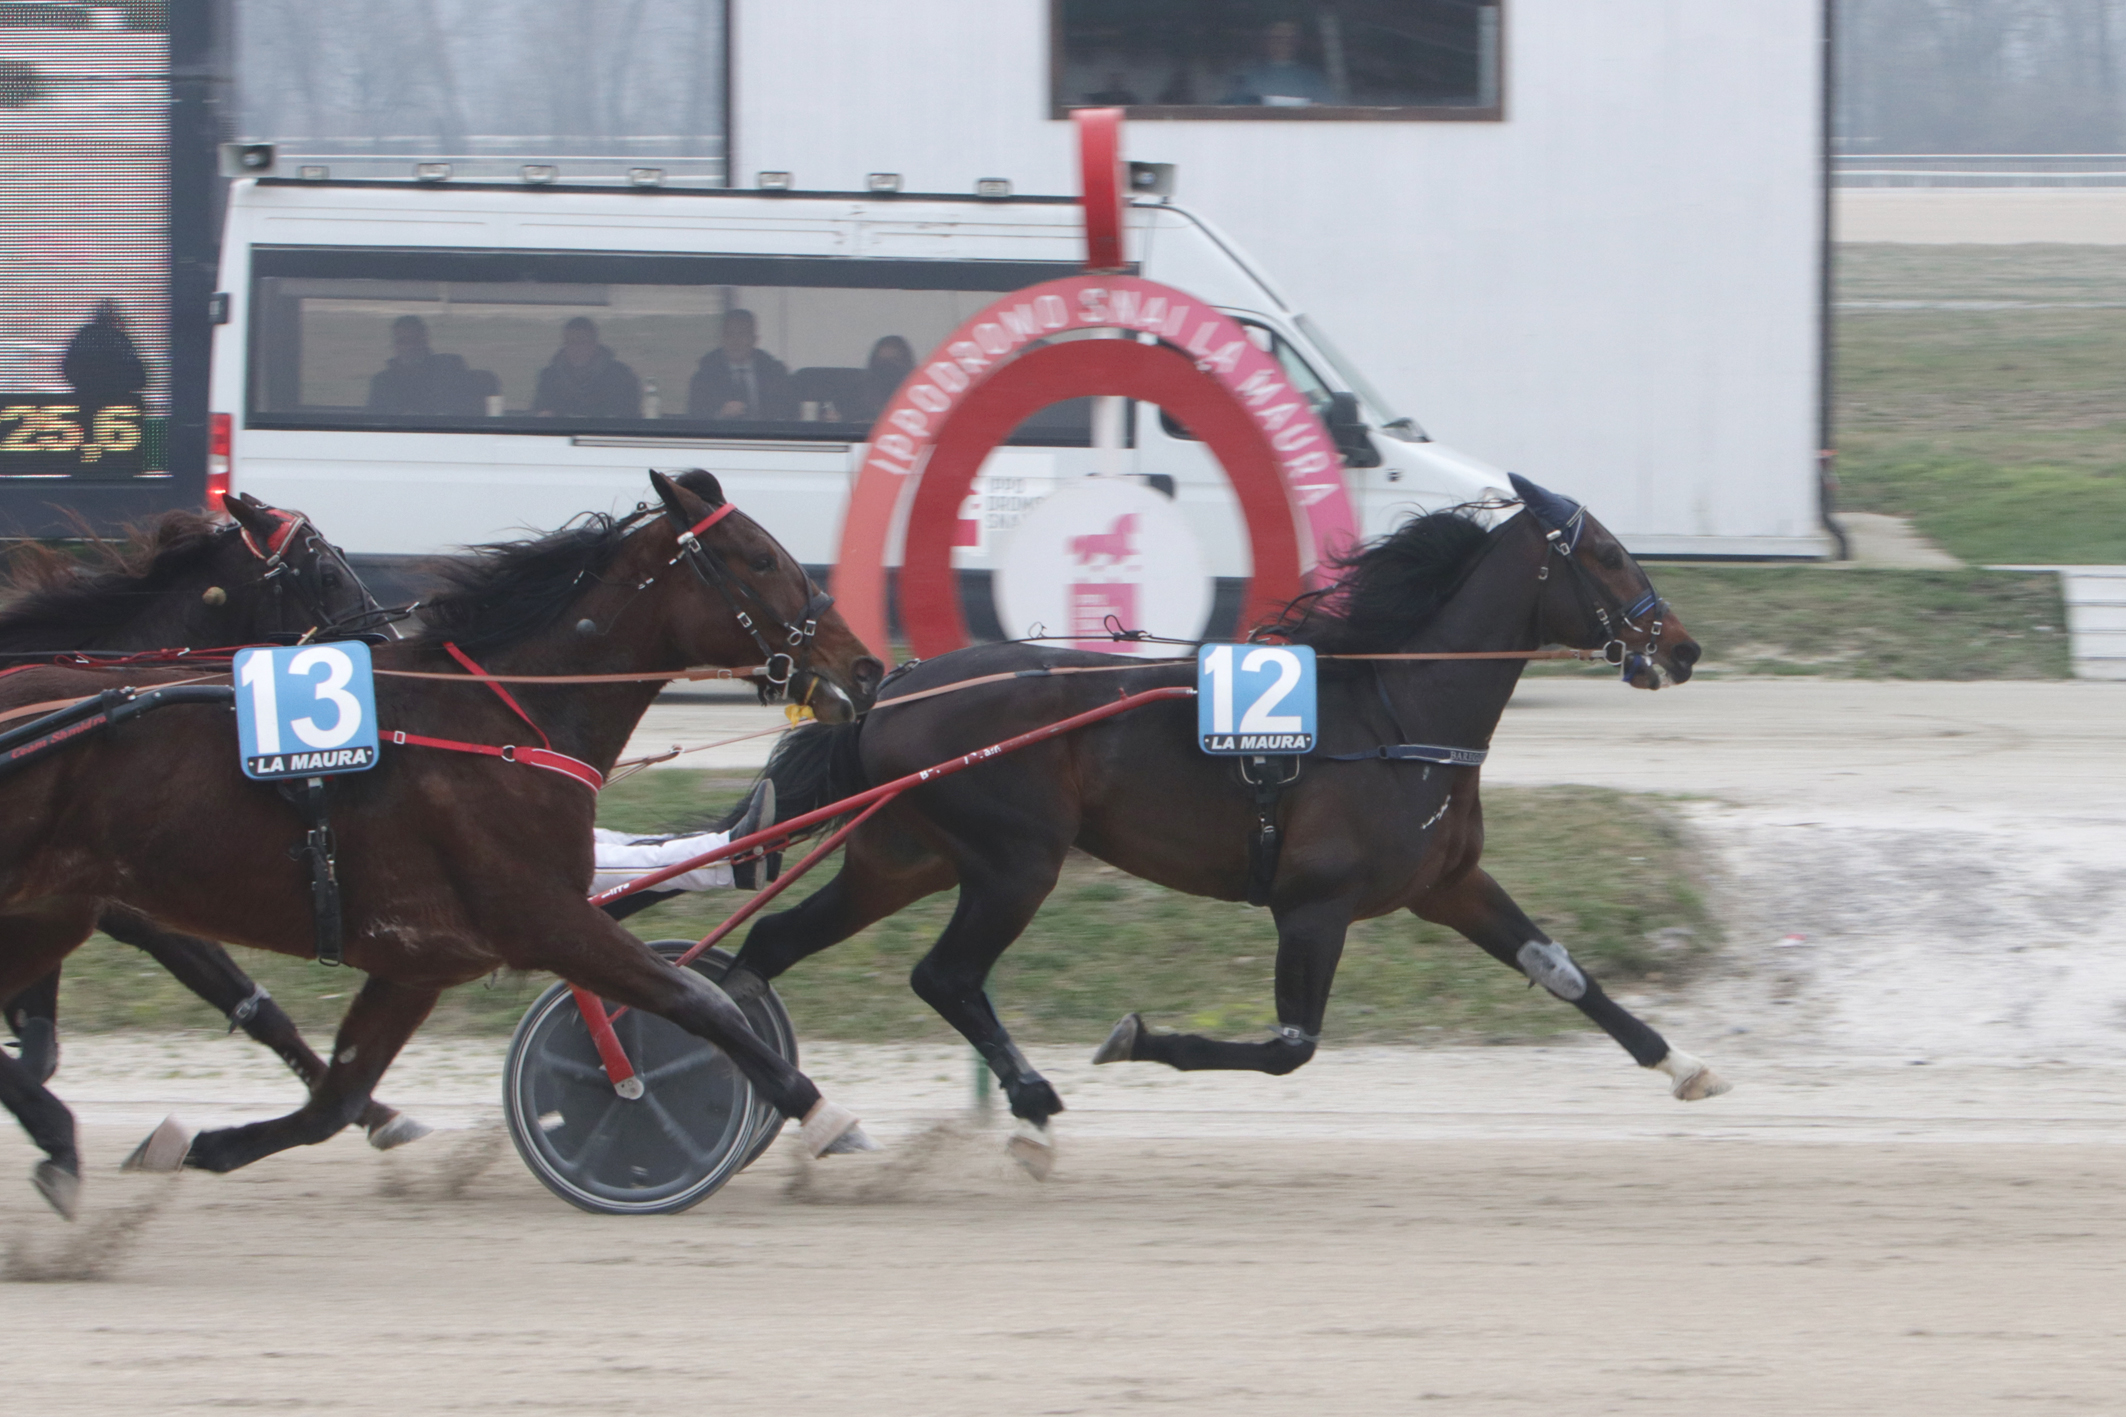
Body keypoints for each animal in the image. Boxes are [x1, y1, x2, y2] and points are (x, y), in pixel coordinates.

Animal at [731, 475, 1726, 1164]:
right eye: (1606, 553)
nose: (1682, 648)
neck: (1396, 714)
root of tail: (894, 687)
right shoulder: (1314, 906)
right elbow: (1289, 1048)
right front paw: (1136, 1037)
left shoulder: (1448, 883)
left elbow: (1560, 970)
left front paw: (1684, 1064)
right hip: (1015, 862)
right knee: (946, 975)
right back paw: (1032, 1113)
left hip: (904, 858)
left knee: (772, 945)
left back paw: (798, 1102)